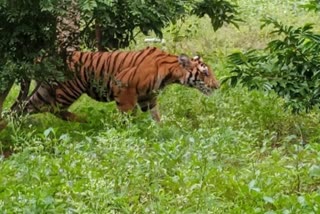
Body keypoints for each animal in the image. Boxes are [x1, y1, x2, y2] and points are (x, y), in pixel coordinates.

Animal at [18, 46, 219, 122]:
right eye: (205, 73)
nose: (217, 86)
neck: (171, 73)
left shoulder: (148, 97)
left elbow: (155, 116)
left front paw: (161, 130)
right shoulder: (125, 88)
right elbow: (127, 114)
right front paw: (128, 133)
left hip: (44, 91)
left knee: (24, 106)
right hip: (68, 90)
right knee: (54, 109)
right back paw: (82, 120)